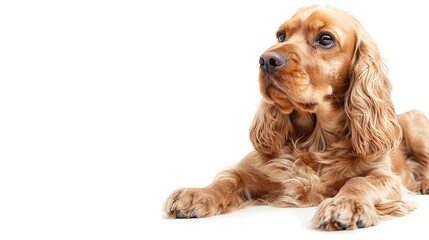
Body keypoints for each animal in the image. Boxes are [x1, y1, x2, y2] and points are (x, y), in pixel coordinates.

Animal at [163, 4, 428, 231]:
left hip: (416, 124)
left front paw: (345, 205)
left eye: (325, 39)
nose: (266, 60)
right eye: (281, 36)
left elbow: (360, 182)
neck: (316, 138)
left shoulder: (385, 177)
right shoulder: (251, 170)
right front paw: (196, 194)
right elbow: (227, 178)